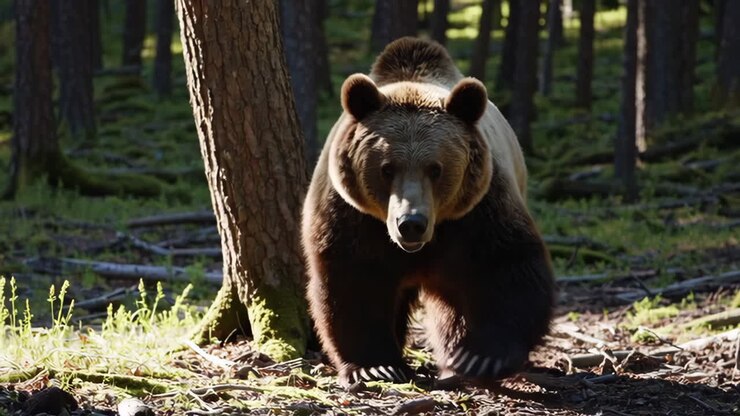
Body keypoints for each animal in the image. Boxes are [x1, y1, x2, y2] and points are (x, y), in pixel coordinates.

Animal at [301, 37, 555, 388]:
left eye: (436, 168)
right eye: (387, 168)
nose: (411, 223)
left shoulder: (478, 211)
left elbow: (507, 268)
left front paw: (480, 357)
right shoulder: (352, 217)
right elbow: (353, 283)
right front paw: (377, 366)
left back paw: (453, 360)